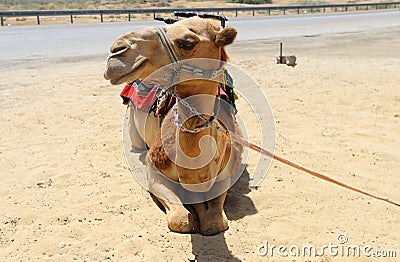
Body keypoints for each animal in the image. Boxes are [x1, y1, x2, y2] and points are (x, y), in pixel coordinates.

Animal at [104, 17, 244, 235]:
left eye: (187, 42)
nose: (117, 50)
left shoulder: (225, 176)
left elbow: (215, 222)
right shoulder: (155, 172)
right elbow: (181, 219)